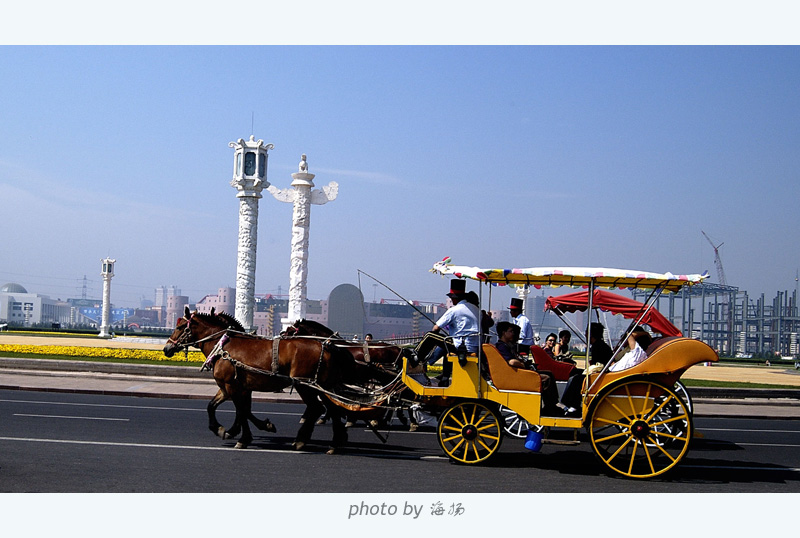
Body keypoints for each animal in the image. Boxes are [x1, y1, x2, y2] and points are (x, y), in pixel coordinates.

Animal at [166, 308, 372, 450]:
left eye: (179, 327)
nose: (167, 348)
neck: (223, 345)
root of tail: (327, 346)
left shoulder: (233, 386)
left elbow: (242, 410)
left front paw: (244, 436)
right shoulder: (229, 386)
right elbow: (214, 406)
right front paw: (223, 429)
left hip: (305, 385)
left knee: (317, 408)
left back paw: (302, 440)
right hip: (321, 385)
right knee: (332, 408)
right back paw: (336, 440)